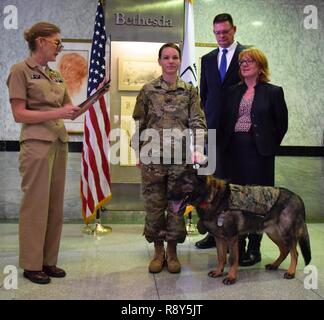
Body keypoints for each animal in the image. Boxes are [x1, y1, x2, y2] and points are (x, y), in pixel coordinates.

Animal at [167, 168, 312, 284]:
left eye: (185, 182)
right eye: (174, 181)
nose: (168, 196)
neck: (213, 198)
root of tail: (297, 197)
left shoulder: (232, 238)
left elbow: (232, 259)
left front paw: (231, 277)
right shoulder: (220, 239)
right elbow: (221, 257)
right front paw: (219, 272)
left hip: (285, 233)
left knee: (294, 252)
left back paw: (291, 272)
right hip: (274, 233)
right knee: (284, 250)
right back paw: (274, 265)